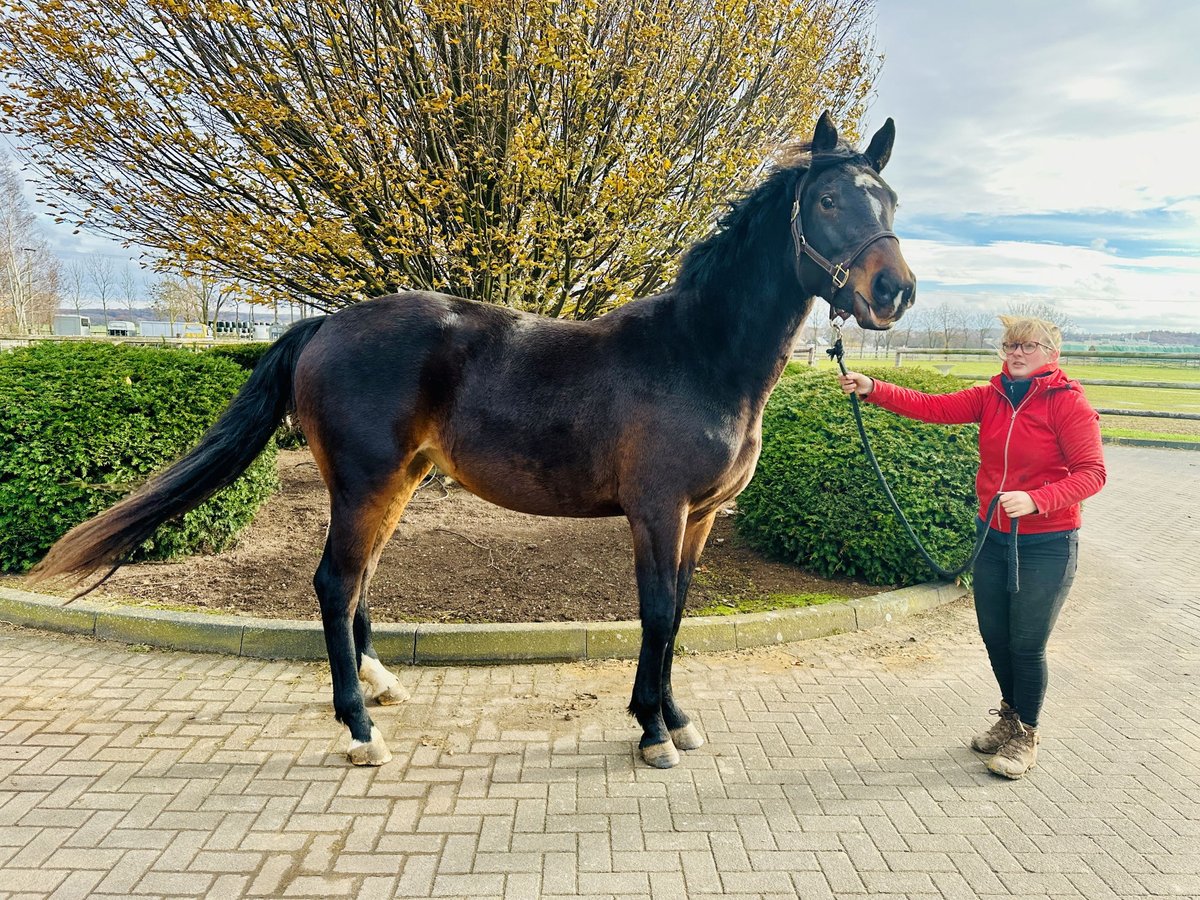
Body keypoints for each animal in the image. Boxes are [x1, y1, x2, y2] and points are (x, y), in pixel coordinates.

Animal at [35, 112, 916, 772]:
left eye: (892, 201)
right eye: (829, 199)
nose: (895, 291)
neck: (698, 353)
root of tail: (326, 325)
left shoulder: (697, 518)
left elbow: (679, 613)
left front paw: (674, 715)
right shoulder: (657, 512)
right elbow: (659, 612)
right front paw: (651, 730)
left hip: (396, 483)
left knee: (359, 581)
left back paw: (380, 686)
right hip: (368, 483)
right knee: (334, 583)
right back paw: (360, 731)